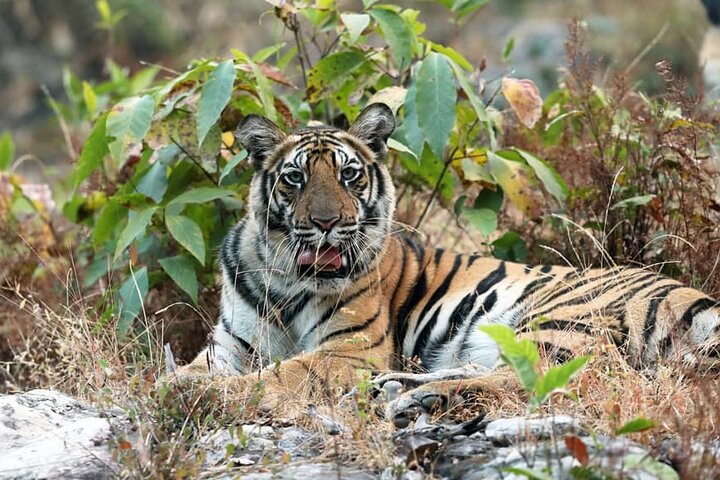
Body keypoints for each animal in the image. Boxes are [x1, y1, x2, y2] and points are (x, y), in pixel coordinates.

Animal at [177, 102, 720, 427]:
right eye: (295, 178)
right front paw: (177, 386)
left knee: (560, 377)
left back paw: (421, 401)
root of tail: (696, 297)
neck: (287, 277)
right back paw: (398, 392)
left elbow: (283, 374)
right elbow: (192, 369)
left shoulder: (350, 350)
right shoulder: (231, 343)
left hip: (563, 318)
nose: (328, 223)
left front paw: (210, 397)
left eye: (350, 176)